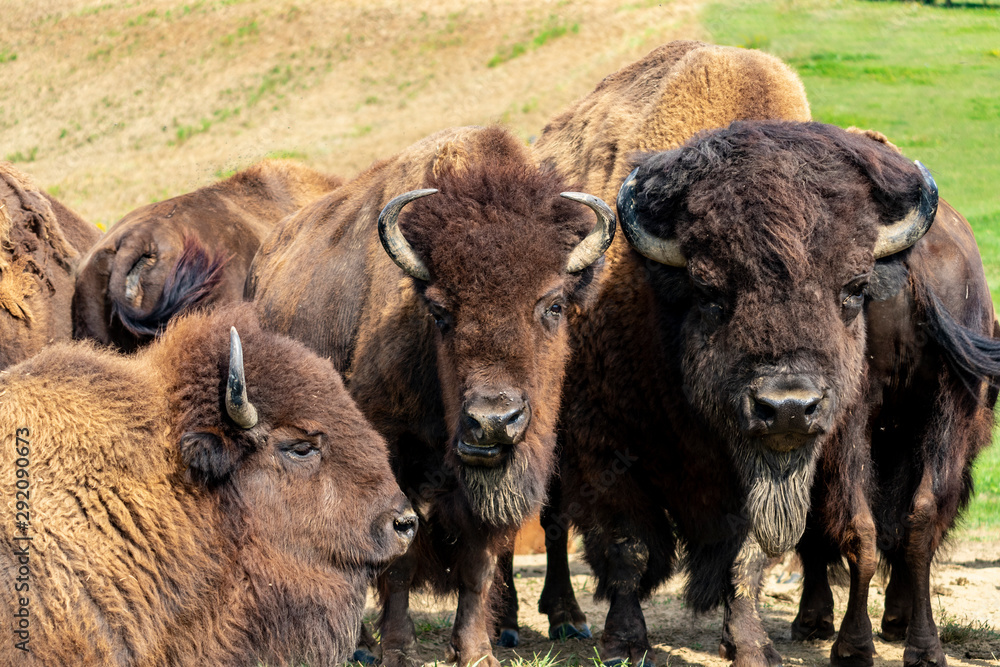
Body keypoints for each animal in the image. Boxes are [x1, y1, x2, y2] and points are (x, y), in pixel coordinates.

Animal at [244, 126, 616, 667]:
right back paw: (359, 646)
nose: (492, 420)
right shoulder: (394, 465)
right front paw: (399, 650)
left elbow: (479, 565)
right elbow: (396, 556)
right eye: (440, 311)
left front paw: (476, 651)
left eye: (553, 305)